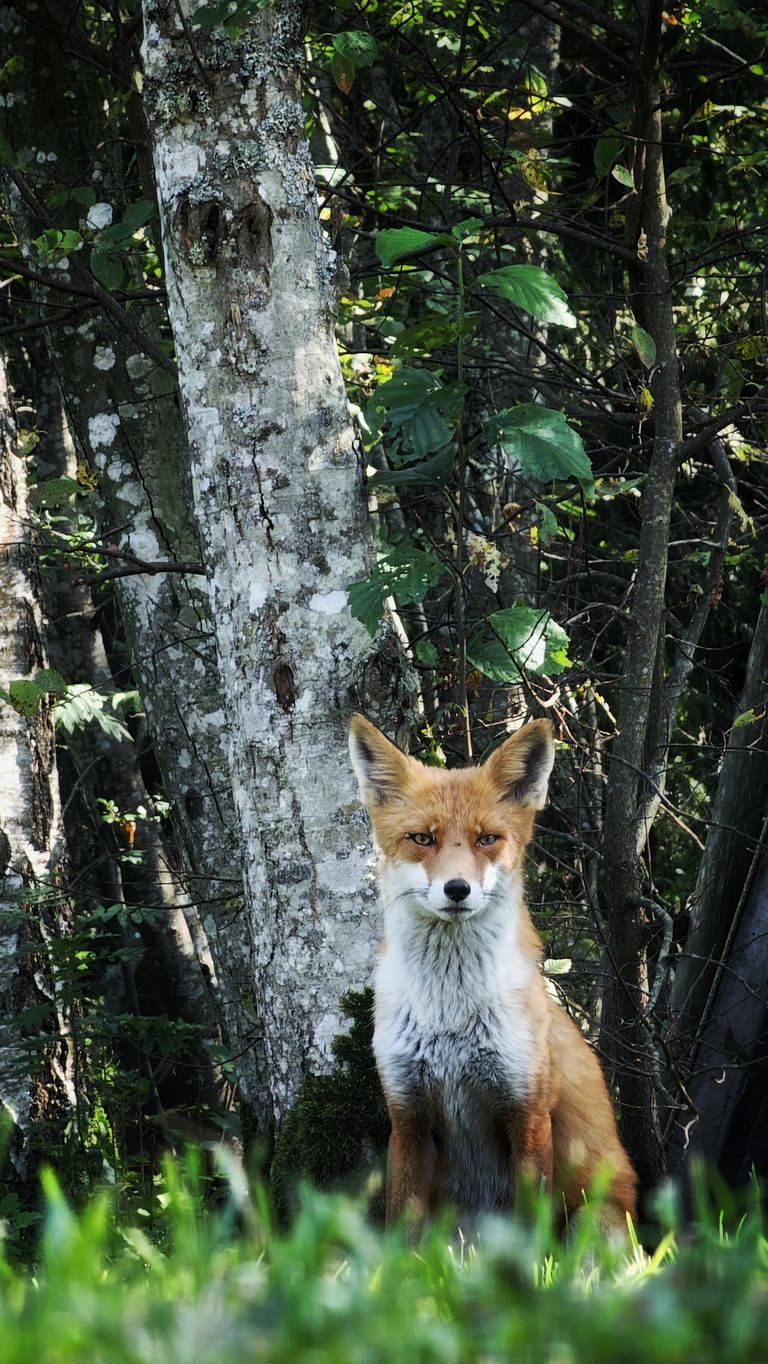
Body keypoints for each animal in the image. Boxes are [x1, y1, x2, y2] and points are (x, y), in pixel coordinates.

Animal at [348, 712, 637, 1233]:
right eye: (422, 838)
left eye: (486, 838)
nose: (457, 888)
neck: (450, 1014)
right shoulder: (407, 1116)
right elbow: (400, 1226)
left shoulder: (528, 1113)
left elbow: (528, 1229)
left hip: (599, 1217)